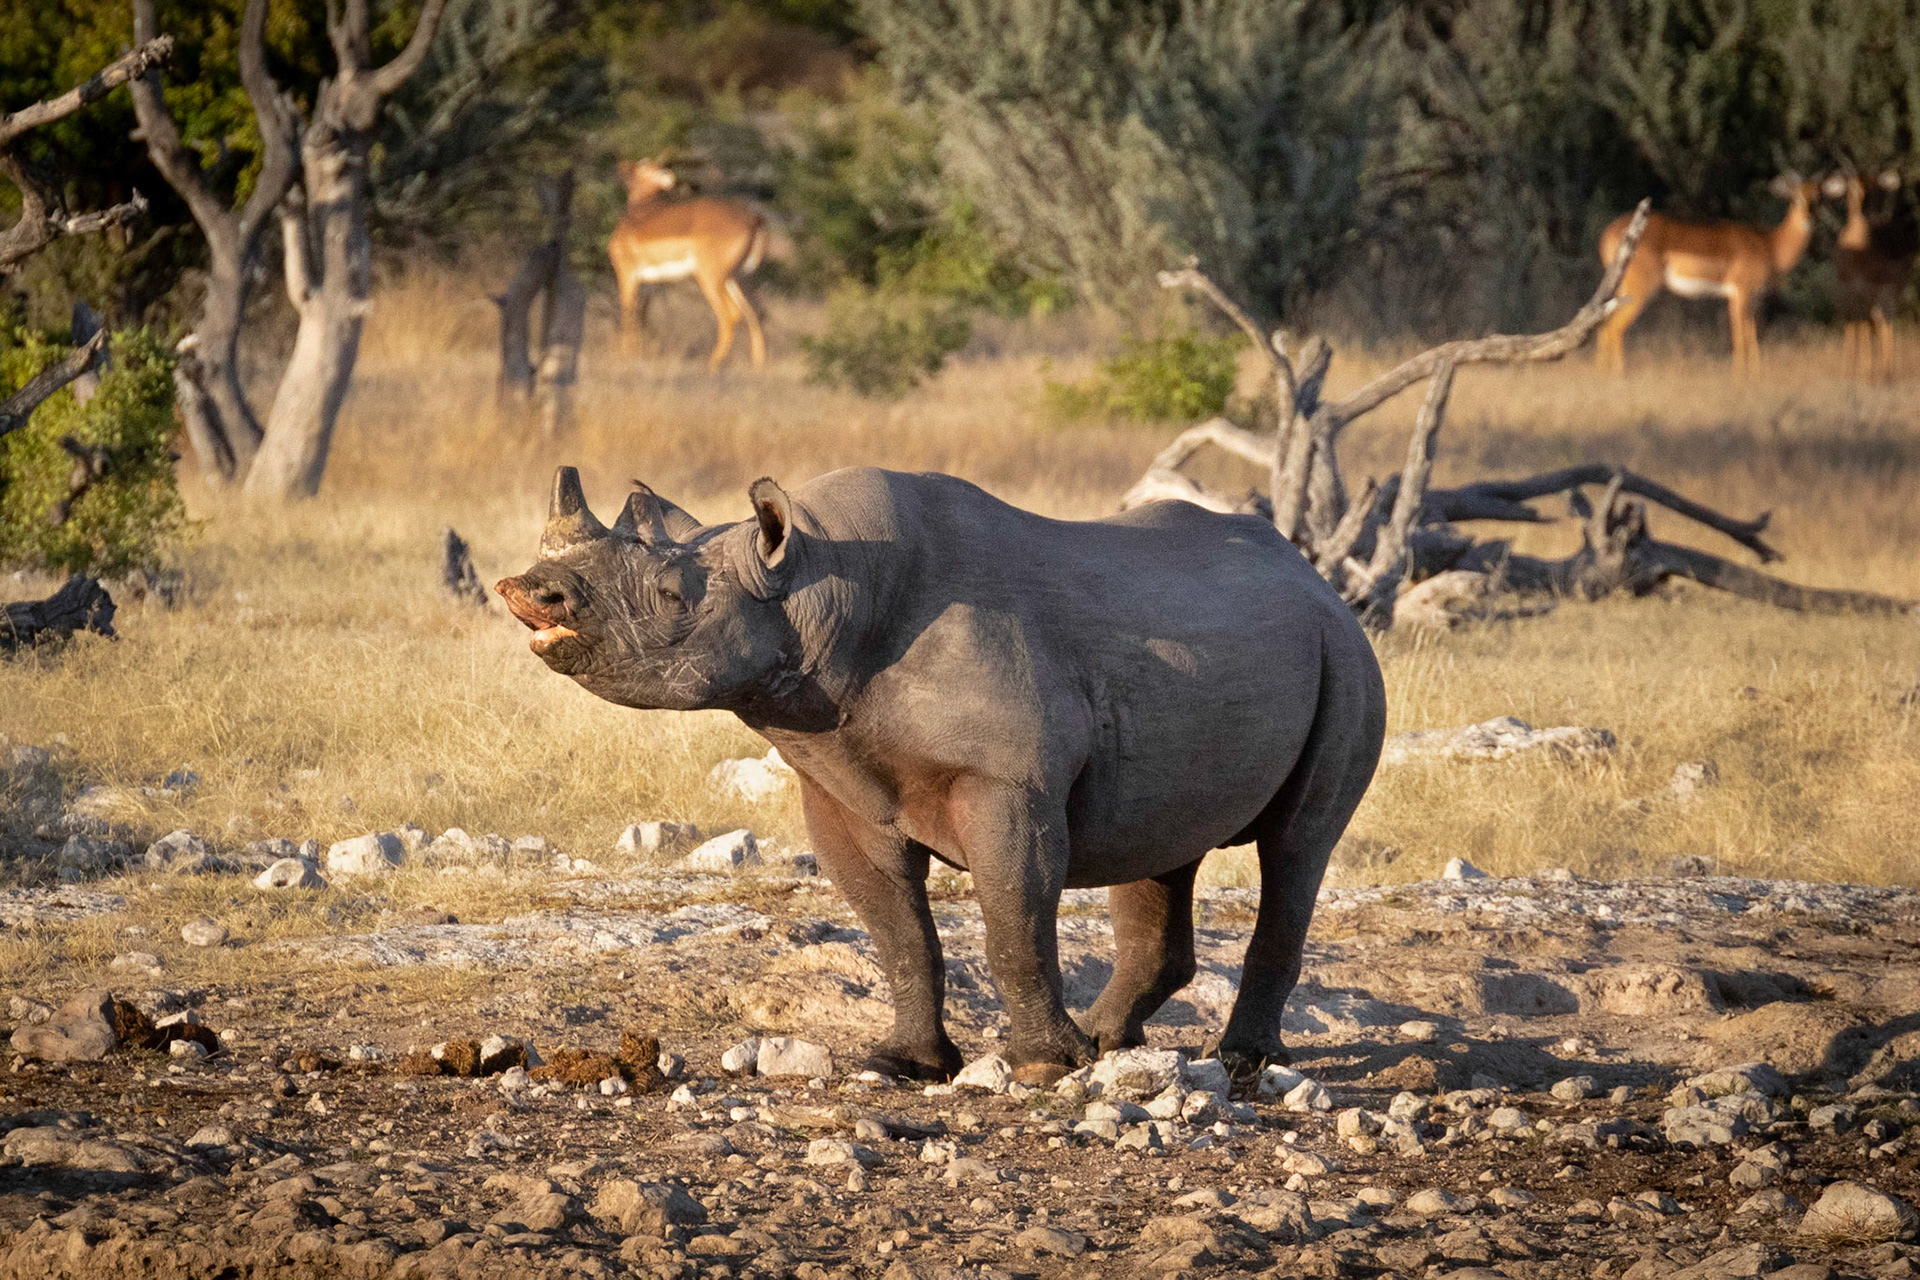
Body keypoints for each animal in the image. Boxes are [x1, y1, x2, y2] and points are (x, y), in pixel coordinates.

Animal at [497, 465, 1385, 1082]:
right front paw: (903, 1063)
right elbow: (898, 933)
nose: (526, 590)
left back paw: (1241, 1064)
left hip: (1345, 657)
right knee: (1165, 845)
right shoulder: (836, 782)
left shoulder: (1005, 784)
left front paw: (1042, 1067)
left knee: (1298, 846)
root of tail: (1315, 579)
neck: (816, 591)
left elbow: (1013, 922)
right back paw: (1110, 1043)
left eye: (672, 595)